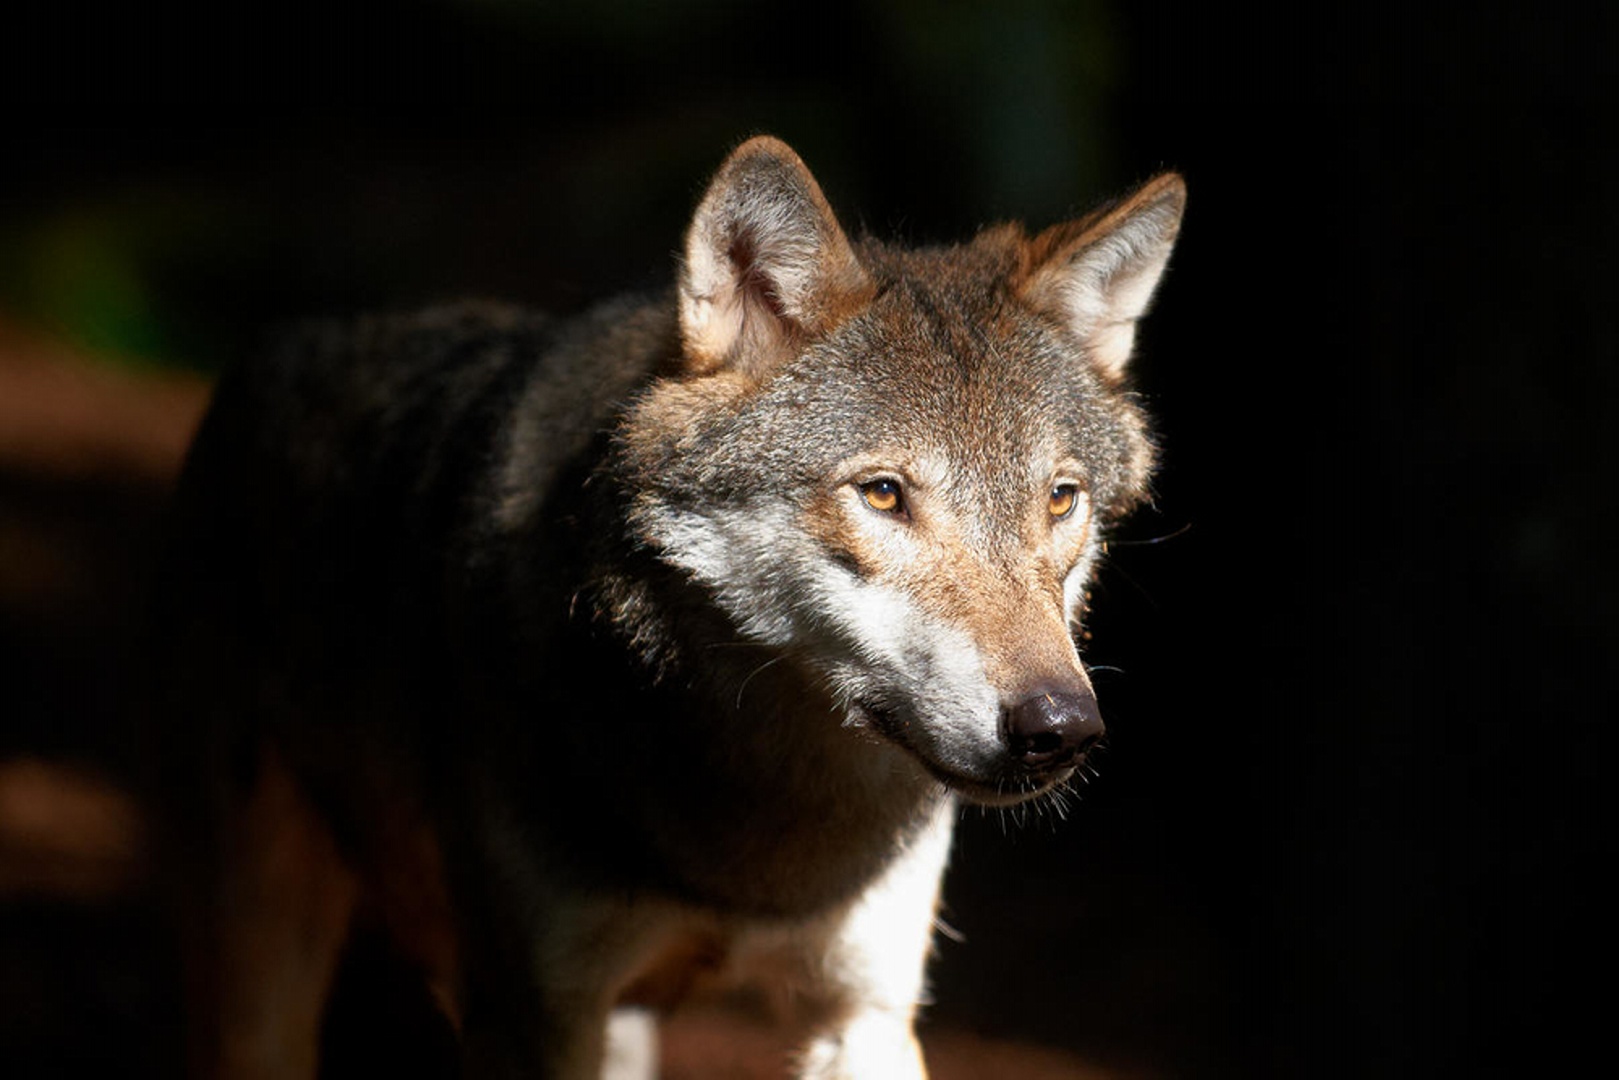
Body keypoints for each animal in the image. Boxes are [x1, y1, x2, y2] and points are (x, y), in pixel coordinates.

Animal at [153, 136, 1184, 1079]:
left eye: (1060, 500)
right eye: (884, 494)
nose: (1061, 728)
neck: (760, 818)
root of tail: (287, 333)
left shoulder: (864, 1010)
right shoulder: (535, 1018)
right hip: (262, 972)